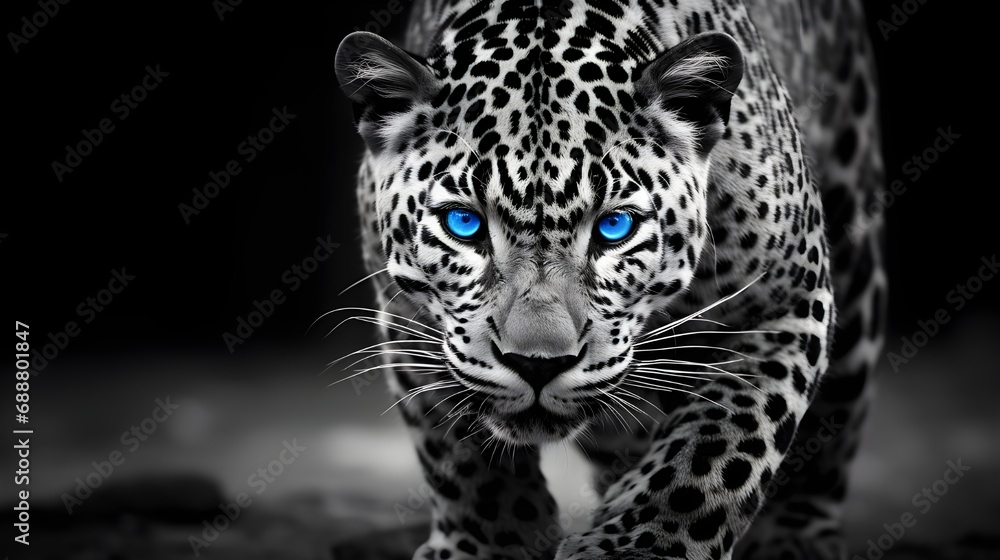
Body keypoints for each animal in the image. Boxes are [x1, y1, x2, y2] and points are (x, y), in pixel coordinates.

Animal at [333, 0, 885, 558]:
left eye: (614, 227)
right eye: (463, 223)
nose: (536, 365)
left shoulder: (785, 301)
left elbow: (722, 442)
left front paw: (644, 545)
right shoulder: (408, 317)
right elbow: (462, 457)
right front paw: (492, 545)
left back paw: (796, 536)